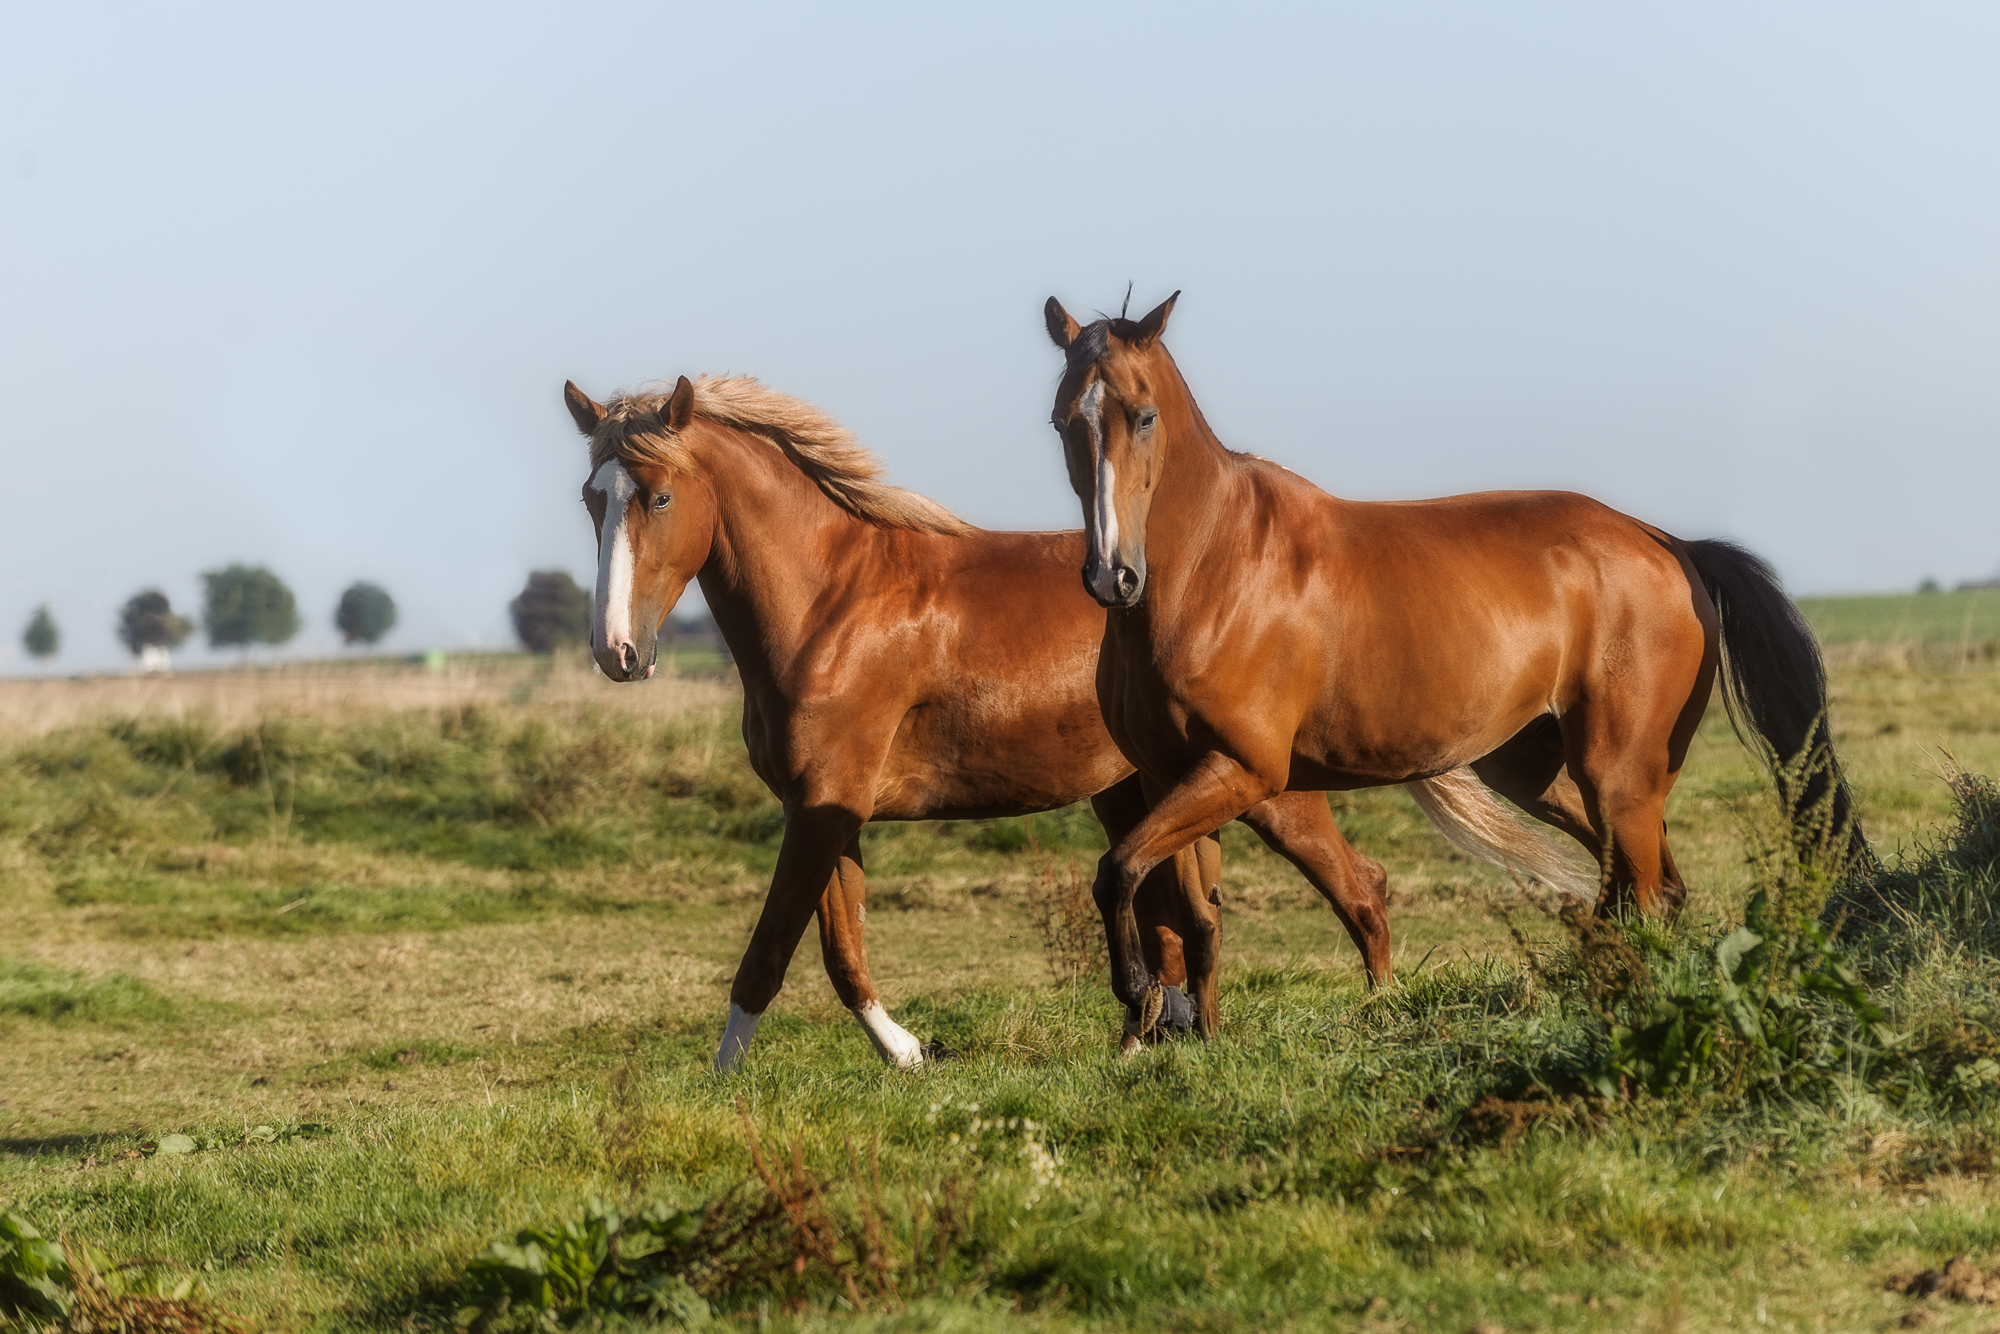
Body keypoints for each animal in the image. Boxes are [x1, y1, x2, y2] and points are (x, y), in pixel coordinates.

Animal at [564, 376, 1560, 1064]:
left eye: (658, 496)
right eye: (591, 497)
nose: (616, 651)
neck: (831, 603)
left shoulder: (818, 808)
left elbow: (769, 952)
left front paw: (720, 1084)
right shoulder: (828, 812)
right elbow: (844, 954)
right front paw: (912, 1055)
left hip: (1264, 789)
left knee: (1360, 889)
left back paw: (1372, 1015)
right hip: (1142, 797)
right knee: (1180, 923)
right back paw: (1149, 1037)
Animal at [1040, 290, 1864, 1024]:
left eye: (1144, 416)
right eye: (1061, 420)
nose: (1111, 577)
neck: (1215, 569)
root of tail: (1666, 543)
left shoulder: (1241, 772)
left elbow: (1117, 873)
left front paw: (1138, 994)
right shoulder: (1171, 777)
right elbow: (1195, 920)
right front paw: (1201, 1043)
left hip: (1619, 776)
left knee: (1648, 893)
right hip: (1542, 770)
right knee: (1642, 887)